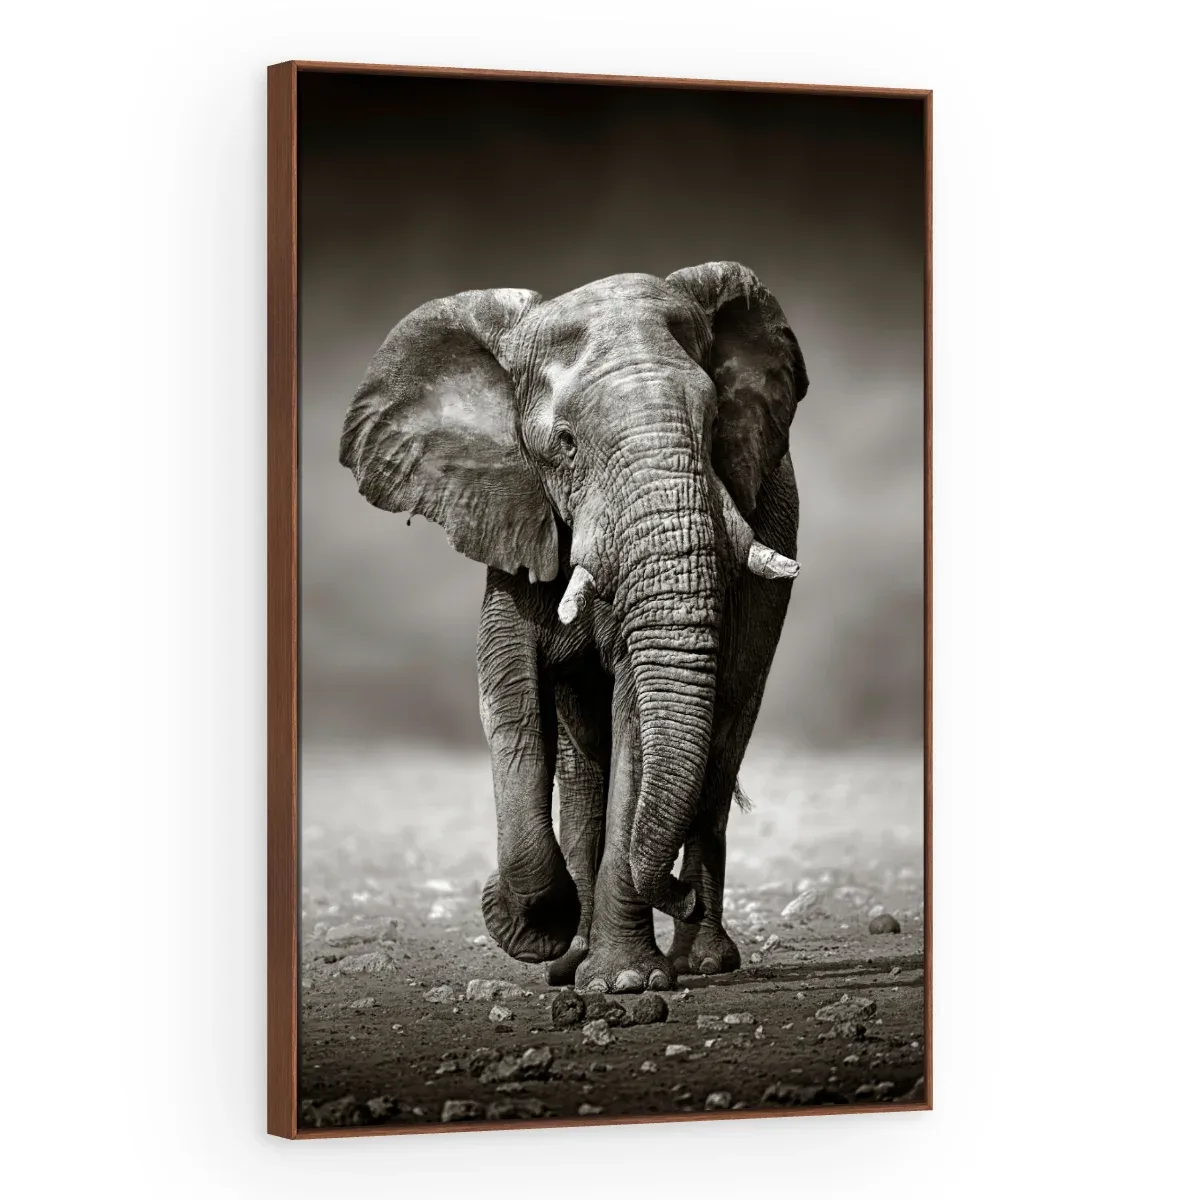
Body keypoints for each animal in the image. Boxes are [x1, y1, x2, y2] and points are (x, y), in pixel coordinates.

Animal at [339, 262, 807, 993]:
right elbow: (510, 699)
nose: (677, 895)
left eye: (712, 430)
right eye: (565, 444)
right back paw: (571, 959)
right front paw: (533, 931)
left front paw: (625, 983)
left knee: (723, 736)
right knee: (584, 759)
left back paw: (701, 961)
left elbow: (637, 716)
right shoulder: (511, 515)